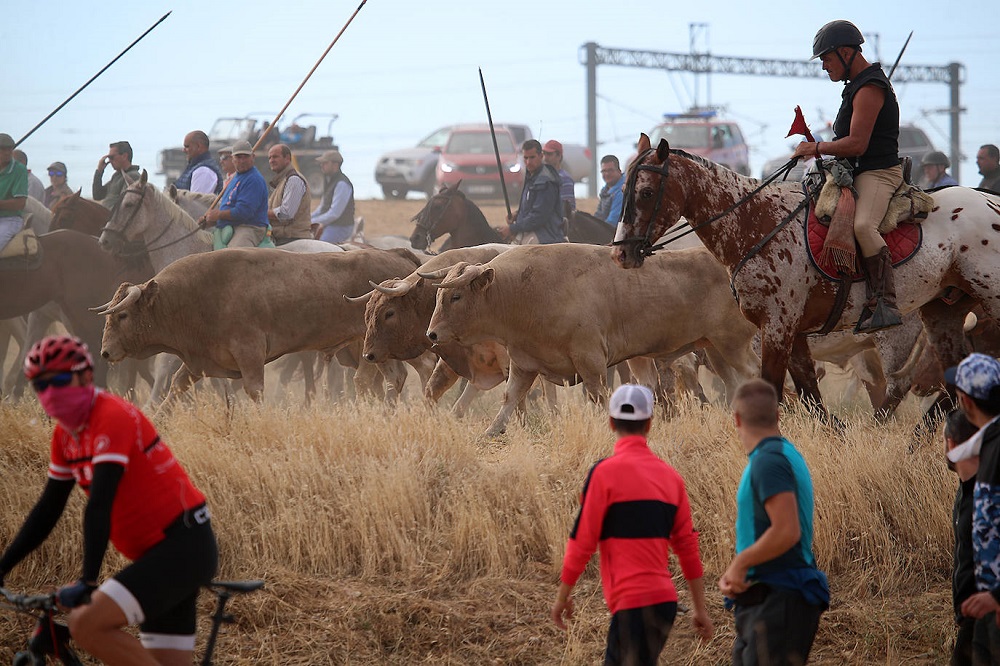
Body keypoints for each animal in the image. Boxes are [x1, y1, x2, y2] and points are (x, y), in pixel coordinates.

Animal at [608, 135, 1000, 410]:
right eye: (624, 188)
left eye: (646, 192)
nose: (621, 253)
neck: (757, 222)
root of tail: (990, 201)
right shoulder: (790, 332)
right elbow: (812, 399)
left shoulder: (776, 329)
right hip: (942, 311)